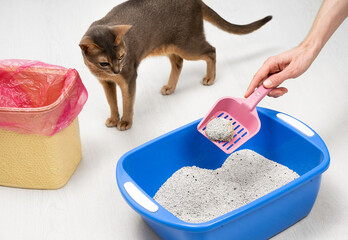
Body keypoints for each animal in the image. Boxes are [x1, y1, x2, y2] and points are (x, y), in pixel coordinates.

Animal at [79, 0, 272, 130]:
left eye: (121, 56)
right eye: (104, 62)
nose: (117, 70)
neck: (104, 72)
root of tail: (196, 1)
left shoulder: (129, 77)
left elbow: (127, 102)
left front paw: (125, 121)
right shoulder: (106, 82)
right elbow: (111, 102)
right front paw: (113, 118)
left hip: (187, 44)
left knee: (211, 51)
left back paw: (210, 77)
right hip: (167, 46)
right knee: (178, 62)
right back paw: (170, 87)